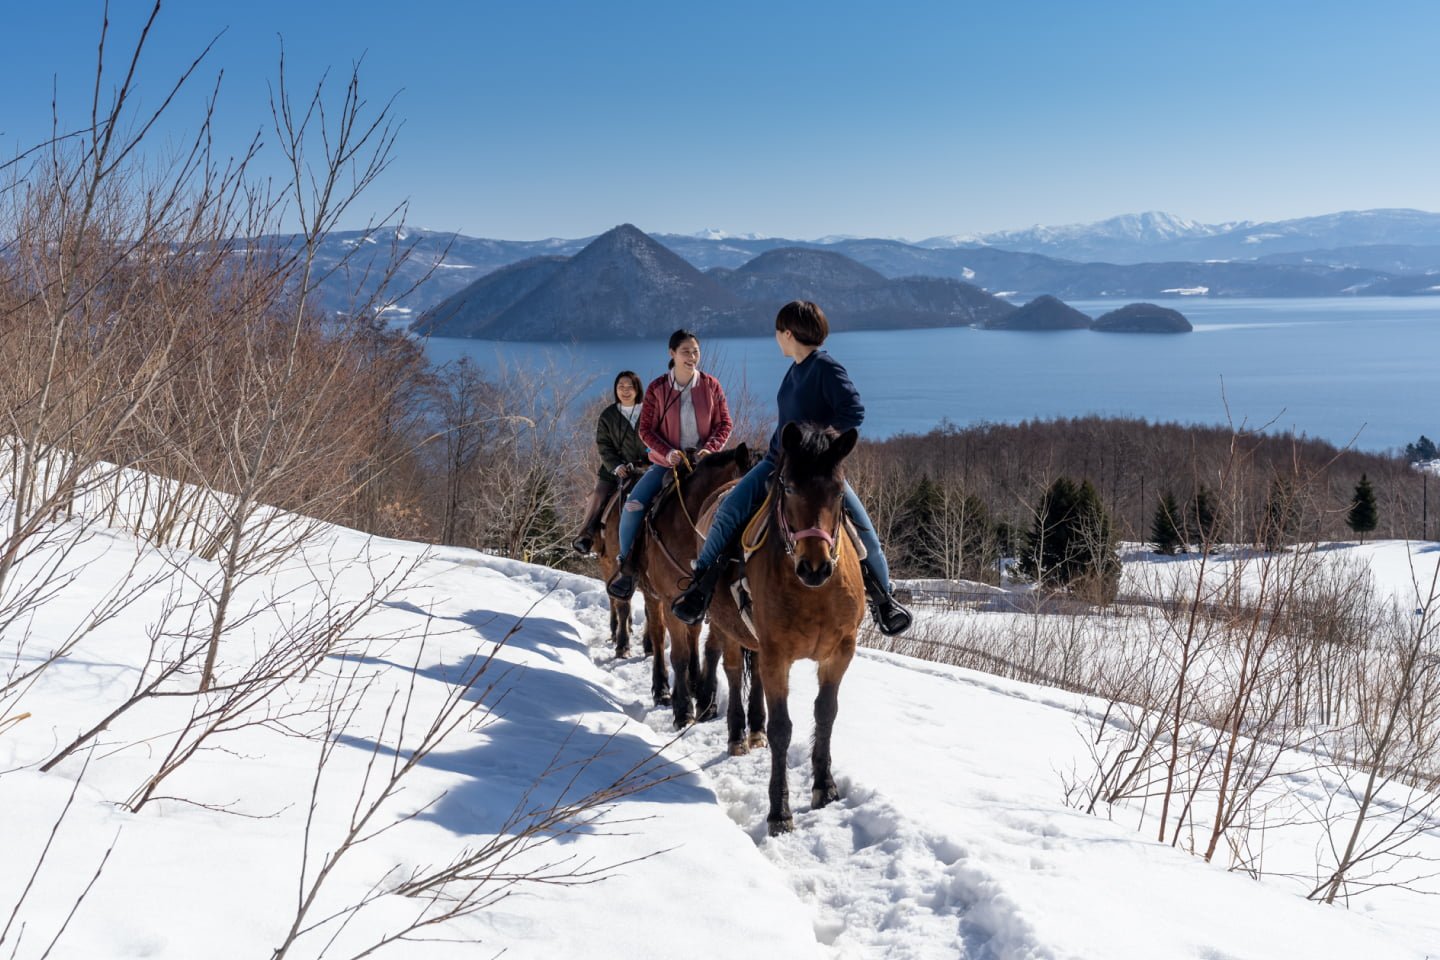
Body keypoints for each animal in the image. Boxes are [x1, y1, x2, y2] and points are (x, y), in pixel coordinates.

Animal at [639, 446, 760, 731]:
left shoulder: (716, 606)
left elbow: (712, 649)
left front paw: (707, 701)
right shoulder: (671, 599)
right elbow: (679, 655)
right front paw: (683, 710)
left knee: (693, 635)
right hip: (652, 595)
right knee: (658, 635)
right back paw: (662, 690)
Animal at [699, 423, 858, 834]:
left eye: (839, 491)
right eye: (788, 486)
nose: (815, 567)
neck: (813, 593)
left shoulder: (840, 653)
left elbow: (826, 713)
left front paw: (824, 788)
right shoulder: (776, 655)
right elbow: (782, 728)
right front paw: (779, 812)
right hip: (728, 628)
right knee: (732, 669)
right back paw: (737, 735)